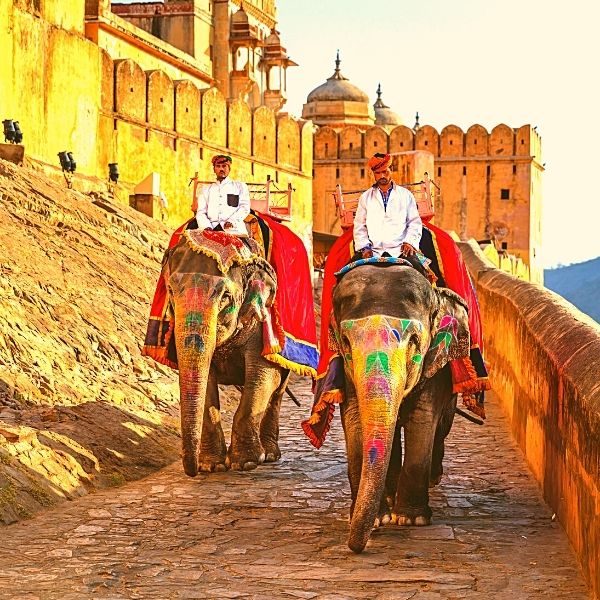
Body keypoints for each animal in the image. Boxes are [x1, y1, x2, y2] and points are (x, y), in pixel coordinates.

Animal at [330, 262, 472, 552]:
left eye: (414, 340)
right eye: (346, 342)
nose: (354, 546)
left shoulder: (433, 365)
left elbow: (423, 419)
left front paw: (411, 519)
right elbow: (354, 419)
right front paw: (377, 520)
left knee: (441, 427)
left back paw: (432, 479)